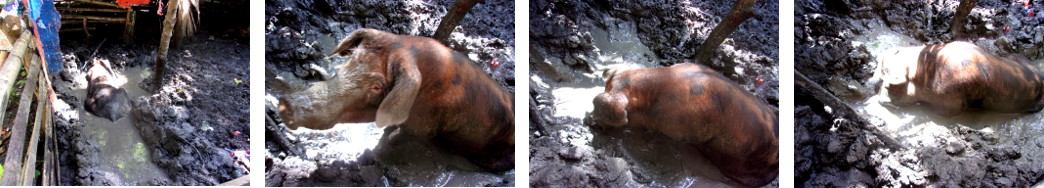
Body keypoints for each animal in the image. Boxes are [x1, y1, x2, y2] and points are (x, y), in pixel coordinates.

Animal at [277, 28, 513, 172]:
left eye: (377, 86)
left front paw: (370, 156)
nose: (286, 103)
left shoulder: (421, 127)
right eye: (352, 60)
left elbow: (391, 139)